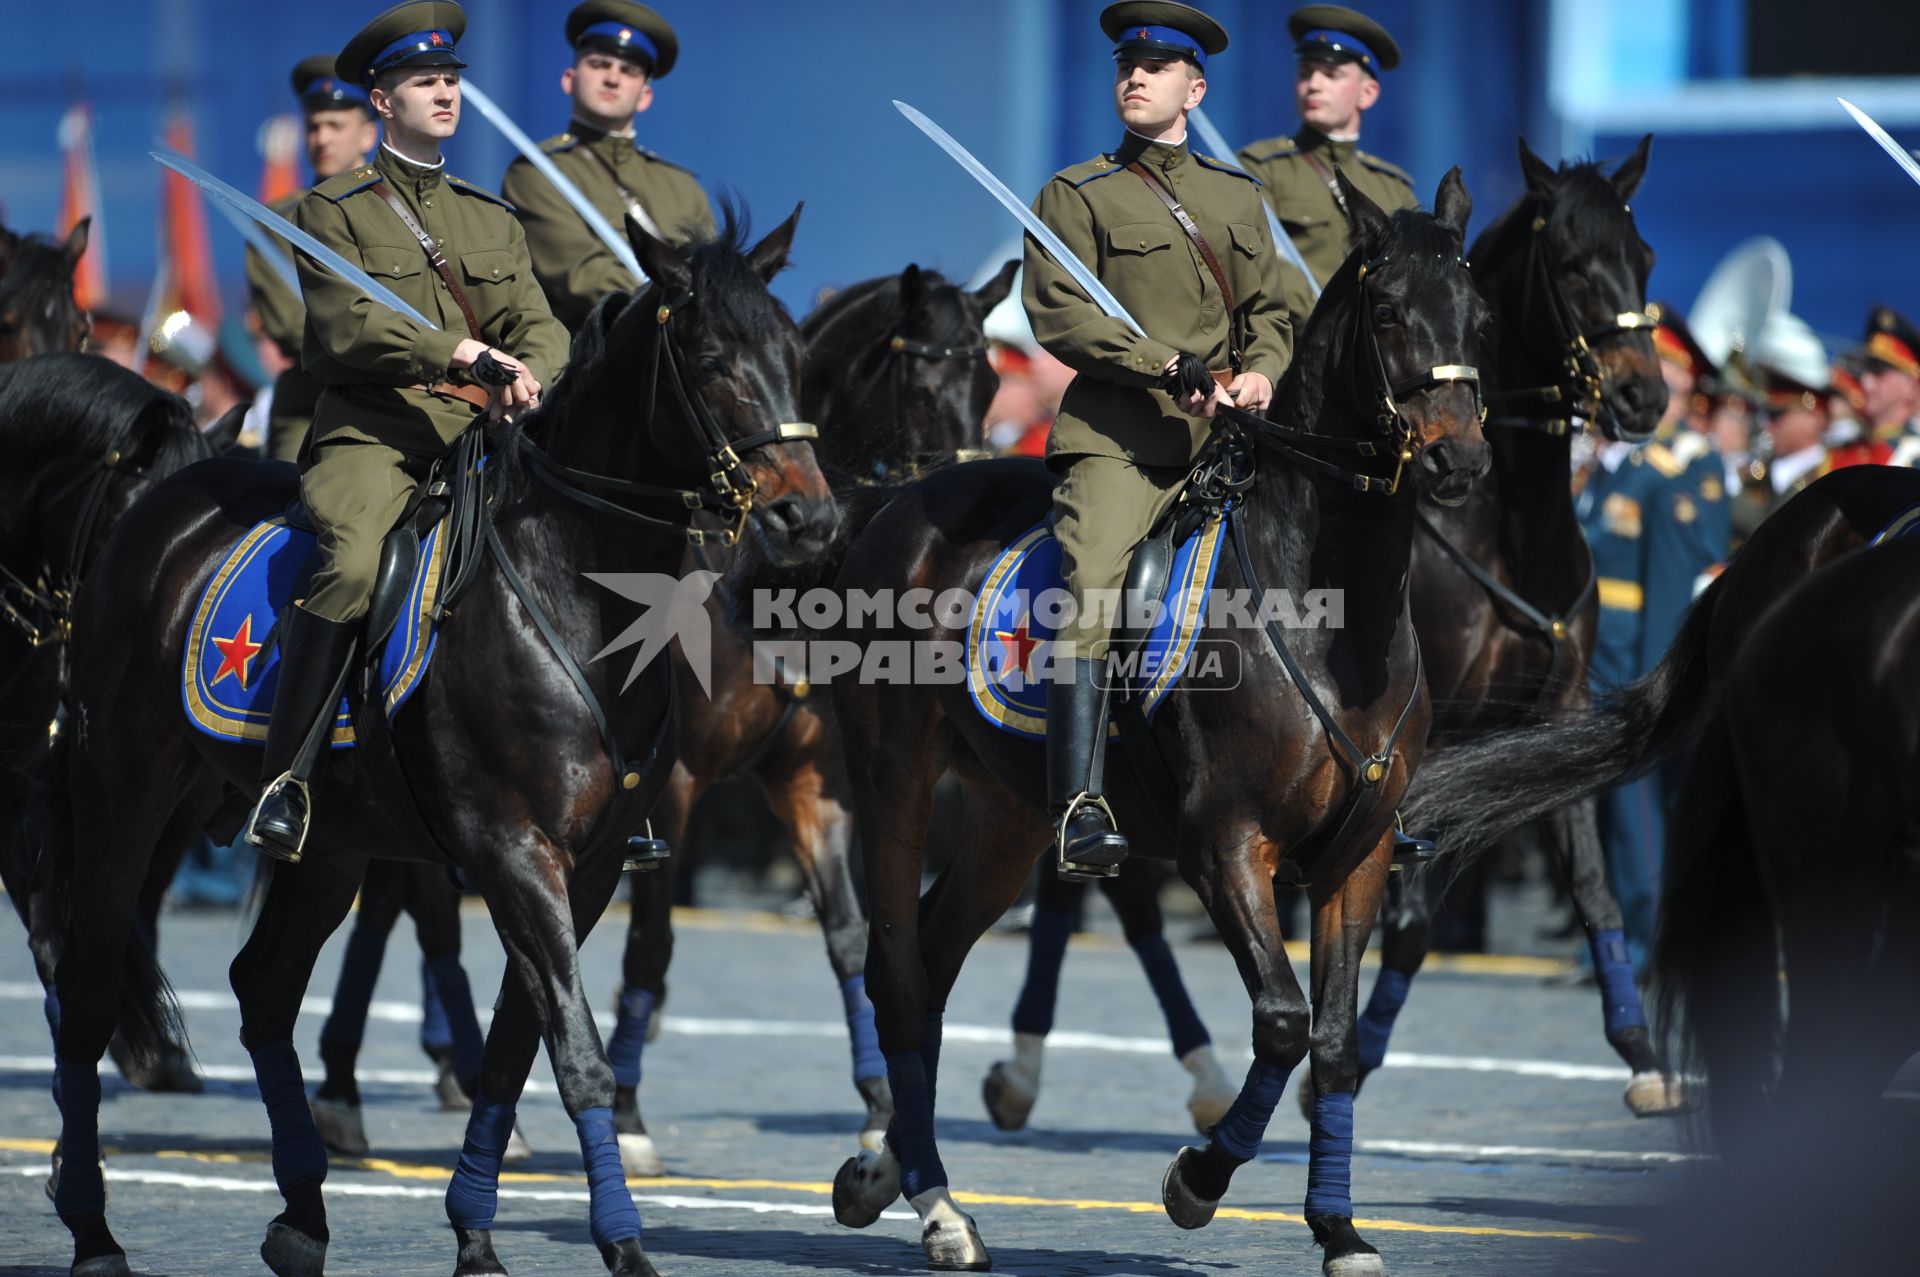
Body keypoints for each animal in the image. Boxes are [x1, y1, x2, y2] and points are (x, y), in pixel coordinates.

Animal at [18, 206, 837, 1275]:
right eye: (709, 358)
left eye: (798, 356)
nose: (807, 516)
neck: (573, 585)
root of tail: (162, 500)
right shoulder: (514, 851)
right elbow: (574, 1054)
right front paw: (622, 1243)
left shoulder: (593, 863)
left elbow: (514, 1049)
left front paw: (476, 1234)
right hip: (124, 791)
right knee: (88, 982)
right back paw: (91, 1227)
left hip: (333, 841)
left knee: (264, 986)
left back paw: (301, 1215)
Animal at [606, 259, 1021, 1175]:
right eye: (921, 384)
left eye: (992, 383)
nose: (980, 497)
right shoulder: (672, 784)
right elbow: (651, 941)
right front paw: (627, 1116)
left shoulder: (813, 785)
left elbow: (849, 936)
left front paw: (881, 1107)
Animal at [741, 171, 1489, 1275]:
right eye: (1390, 312)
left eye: (1479, 316)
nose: (1457, 462)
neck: (1329, 605)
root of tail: (892, 504)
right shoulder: (1228, 843)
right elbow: (1281, 1022)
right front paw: (1196, 1180)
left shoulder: (1357, 855)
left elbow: (1337, 1043)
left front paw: (1339, 1228)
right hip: (892, 781)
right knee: (897, 972)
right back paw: (937, 1205)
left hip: (1009, 818)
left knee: (932, 956)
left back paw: (887, 1172)